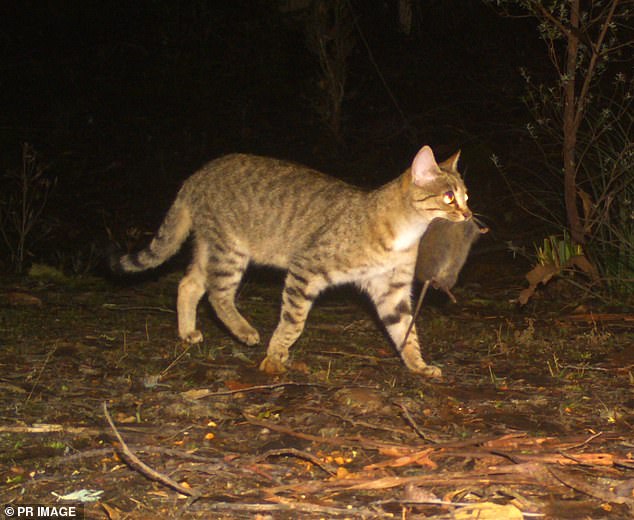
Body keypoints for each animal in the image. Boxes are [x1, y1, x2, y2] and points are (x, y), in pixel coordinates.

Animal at [112, 145, 470, 378]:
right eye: (448, 197)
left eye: (466, 196)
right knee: (217, 294)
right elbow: (294, 321)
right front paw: (275, 355)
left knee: (188, 284)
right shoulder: (306, 267)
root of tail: (196, 175)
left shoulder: (391, 289)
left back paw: (187, 332)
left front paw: (418, 365)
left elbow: (405, 330)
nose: (468, 214)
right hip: (229, 251)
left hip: (209, 247)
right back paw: (244, 331)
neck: (405, 233)